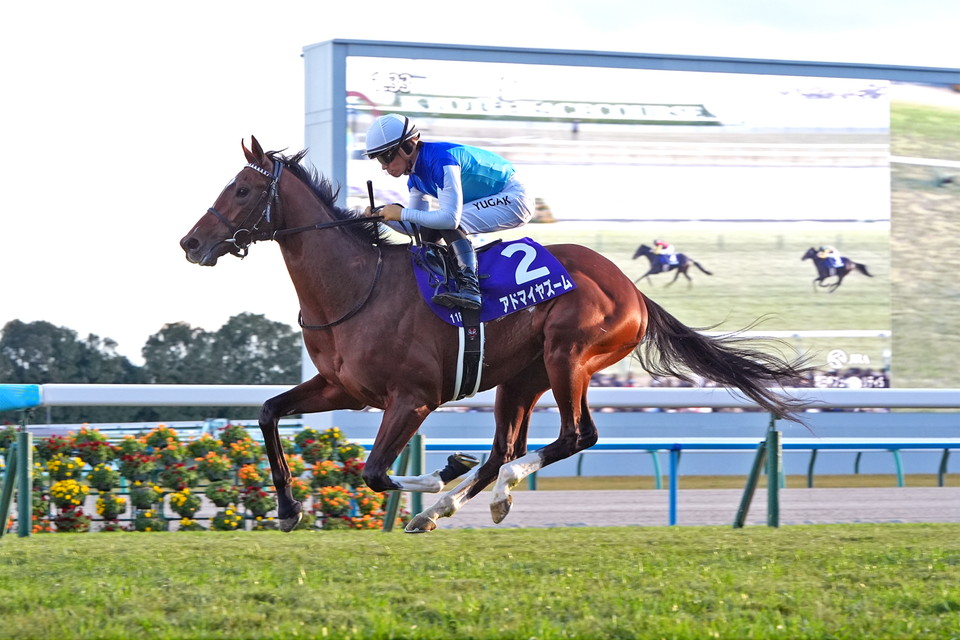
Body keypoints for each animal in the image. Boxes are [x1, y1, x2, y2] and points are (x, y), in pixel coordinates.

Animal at [180, 137, 814, 533]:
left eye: (241, 190)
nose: (190, 242)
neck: (357, 285)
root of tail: (633, 290)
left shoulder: (413, 398)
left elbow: (375, 472)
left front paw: (442, 471)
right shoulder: (344, 388)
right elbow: (268, 413)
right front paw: (288, 508)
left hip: (568, 356)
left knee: (570, 437)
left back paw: (491, 491)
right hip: (523, 377)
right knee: (508, 449)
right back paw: (442, 509)